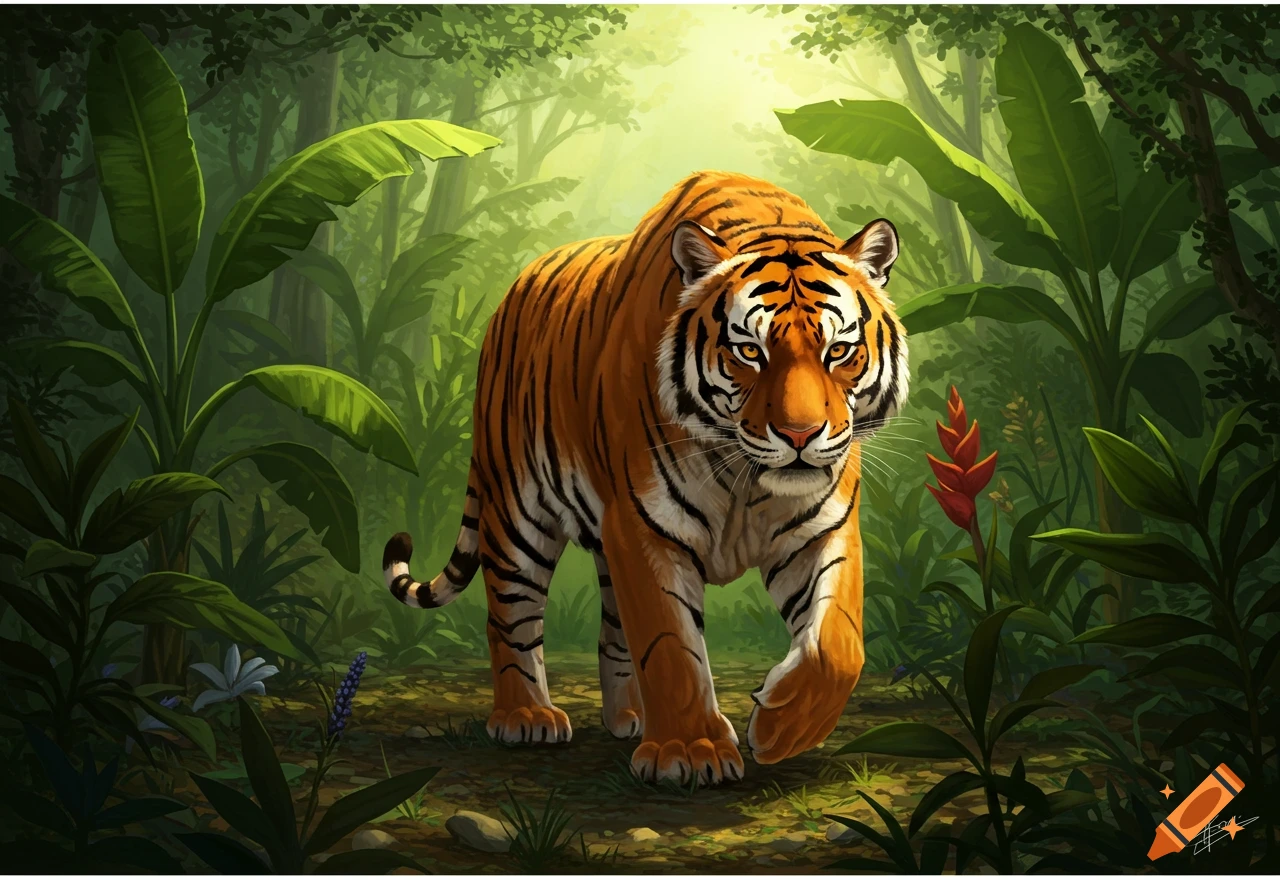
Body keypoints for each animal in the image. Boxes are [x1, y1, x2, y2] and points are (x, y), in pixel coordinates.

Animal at [382, 170, 908, 786]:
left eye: (839, 350)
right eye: (749, 351)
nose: (799, 436)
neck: (746, 480)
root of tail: (511, 292)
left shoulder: (822, 528)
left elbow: (838, 644)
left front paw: (781, 729)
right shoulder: (645, 526)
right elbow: (670, 645)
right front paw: (691, 750)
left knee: (611, 629)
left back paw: (628, 718)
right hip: (516, 514)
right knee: (510, 616)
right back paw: (525, 716)